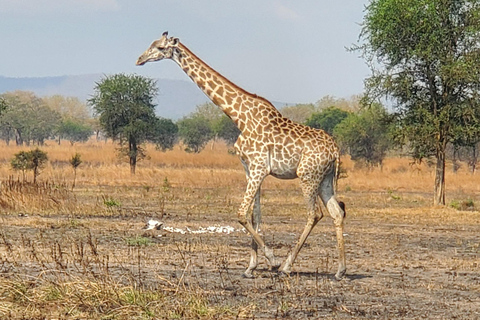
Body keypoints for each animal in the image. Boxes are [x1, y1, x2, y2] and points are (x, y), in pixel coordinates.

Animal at [137, 31, 346, 278]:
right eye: (151, 44)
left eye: (160, 48)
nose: (139, 59)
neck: (239, 117)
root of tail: (335, 150)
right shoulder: (249, 168)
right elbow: (255, 214)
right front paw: (250, 267)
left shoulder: (259, 167)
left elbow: (241, 213)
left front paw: (272, 260)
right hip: (325, 178)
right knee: (336, 212)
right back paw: (341, 270)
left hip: (308, 176)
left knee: (315, 214)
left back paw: (286, 266)